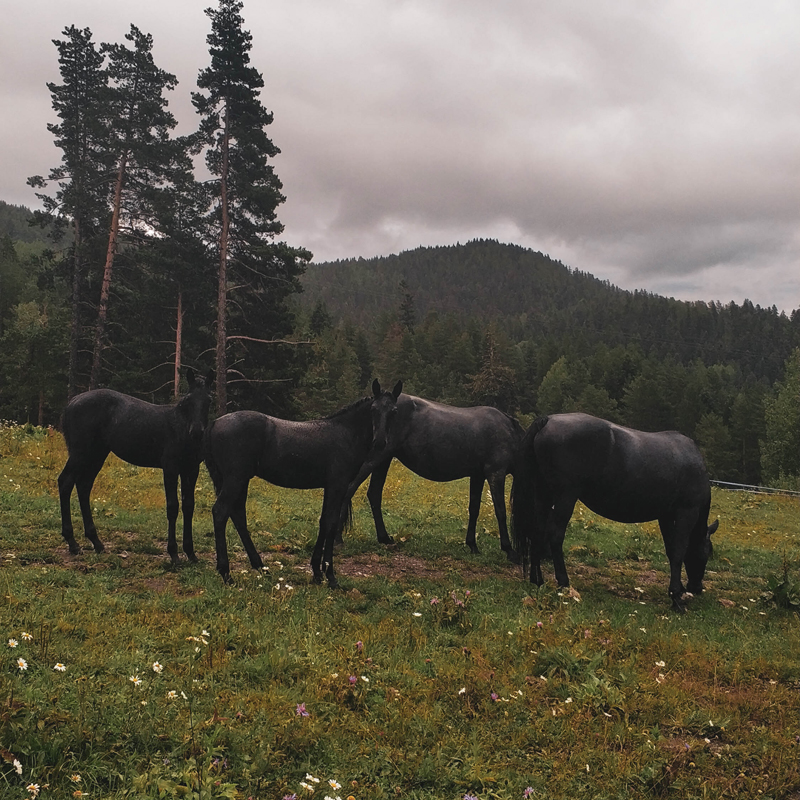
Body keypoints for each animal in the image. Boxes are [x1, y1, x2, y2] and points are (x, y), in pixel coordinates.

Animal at [57, 368, 216, 564]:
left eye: (209, 400)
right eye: (189, 399)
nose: (196, 432)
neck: (180, 427)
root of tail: (71, 403)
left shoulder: (191, 470)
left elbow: (188, 506)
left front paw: (191, 554)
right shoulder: (170, 468)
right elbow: (172, 507)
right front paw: (174, 554)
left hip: (97, 454)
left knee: (83, 486)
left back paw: (96, 542)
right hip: (80, 453)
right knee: (65, 482)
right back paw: (72, 543)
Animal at [203, 378, 404, 584]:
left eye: (394, 411)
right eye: (373, 409)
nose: (380, 442)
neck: (345, 434)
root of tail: (215, 423)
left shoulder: (331, 487)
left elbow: (325, 522)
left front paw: (317, 572)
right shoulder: (337, 486)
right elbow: (331, 523)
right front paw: (330, 576)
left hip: (239, 480)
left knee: (237, 515)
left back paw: (260, 567)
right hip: (235, 479)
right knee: (220, 512)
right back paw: (226, 573)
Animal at [358, 396, 520, 560]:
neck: (510, 432)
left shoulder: (477, 476)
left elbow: (474, 509)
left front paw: (472, 545)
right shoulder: (496, 473)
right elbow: (501, 511)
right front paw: (509, 549)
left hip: (384, 461)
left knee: (374, 494)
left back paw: (384, 538)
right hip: (376, 458)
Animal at [512, 412, 720, 612]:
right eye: (707, 552)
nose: (697, 587)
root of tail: (548, 420)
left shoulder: (666, 517)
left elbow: (671, 550)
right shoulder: (686, 513)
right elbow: (678, 552)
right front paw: (676, 597)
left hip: (543, 495)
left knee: (537, 532)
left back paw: (537, 580)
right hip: (565, 498)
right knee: (555, 535)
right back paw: (563, 583)